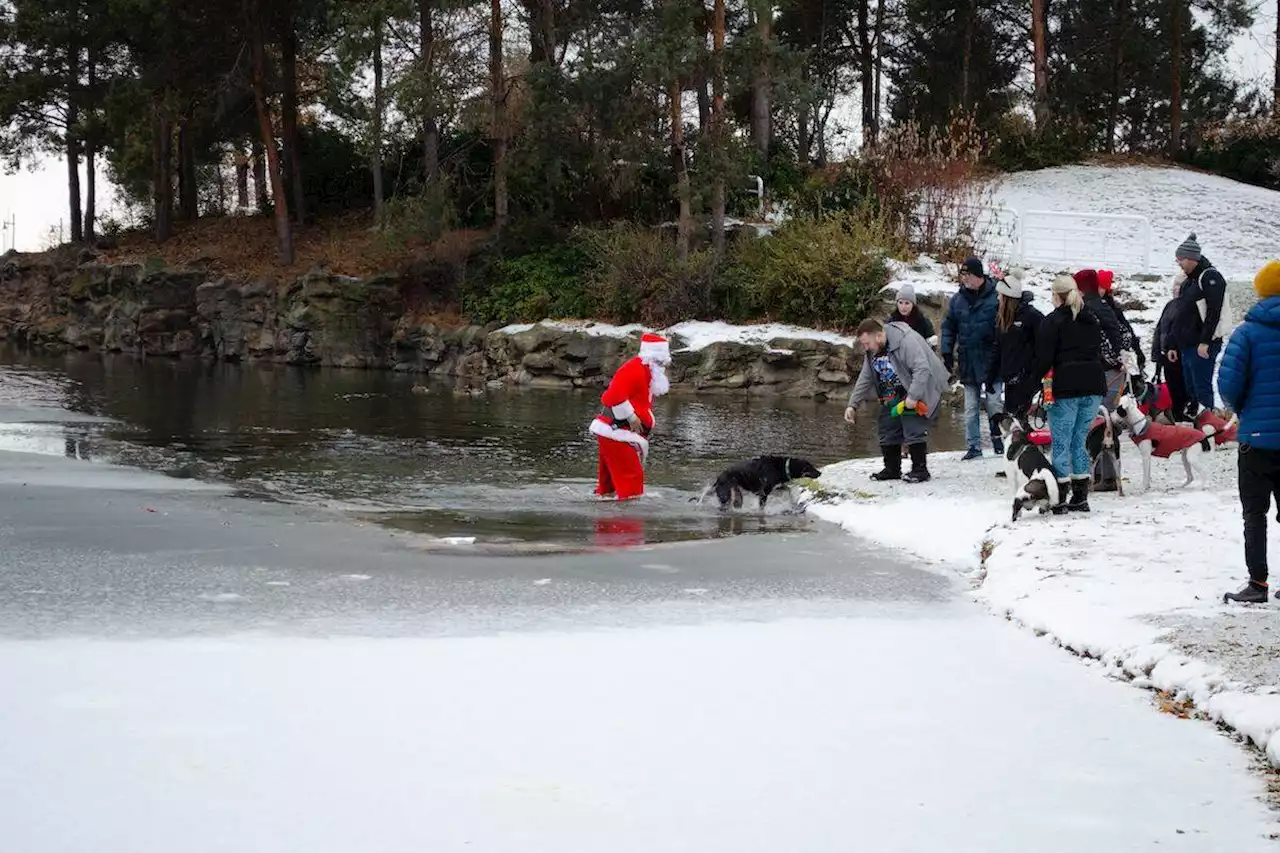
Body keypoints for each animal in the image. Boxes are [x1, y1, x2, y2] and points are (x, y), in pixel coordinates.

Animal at [696, 455, 824, 507]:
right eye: (809, 467)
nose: (820, 473)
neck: (783, 467)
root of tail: (718, 480)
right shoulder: (764, 492)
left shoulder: (776, 486)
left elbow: (789, 490)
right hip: (726, 496)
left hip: (737, 496)